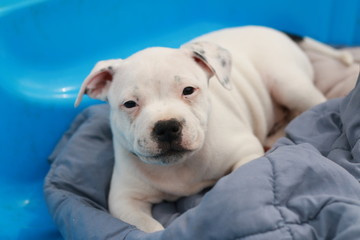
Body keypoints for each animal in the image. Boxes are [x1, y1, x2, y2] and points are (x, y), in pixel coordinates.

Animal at [74, 25, 344, 232]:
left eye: (188, 90)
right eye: (130, 104)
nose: (167, 127)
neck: (179, 167)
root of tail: (276, 31)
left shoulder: (245, 149)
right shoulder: (123, 200)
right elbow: (146, 226)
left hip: (287, 83)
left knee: (311, 106)